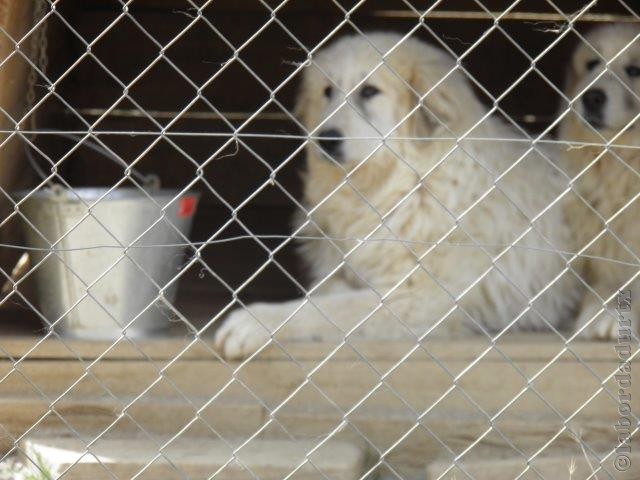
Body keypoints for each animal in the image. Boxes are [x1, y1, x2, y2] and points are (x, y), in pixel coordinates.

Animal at [215, 31, 580, 358]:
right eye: (327, 92)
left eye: (369, 91)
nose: (326, 139)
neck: (405, 186)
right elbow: (329, 291)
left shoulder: (424, 296)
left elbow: (329, 308)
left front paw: (253, 322)